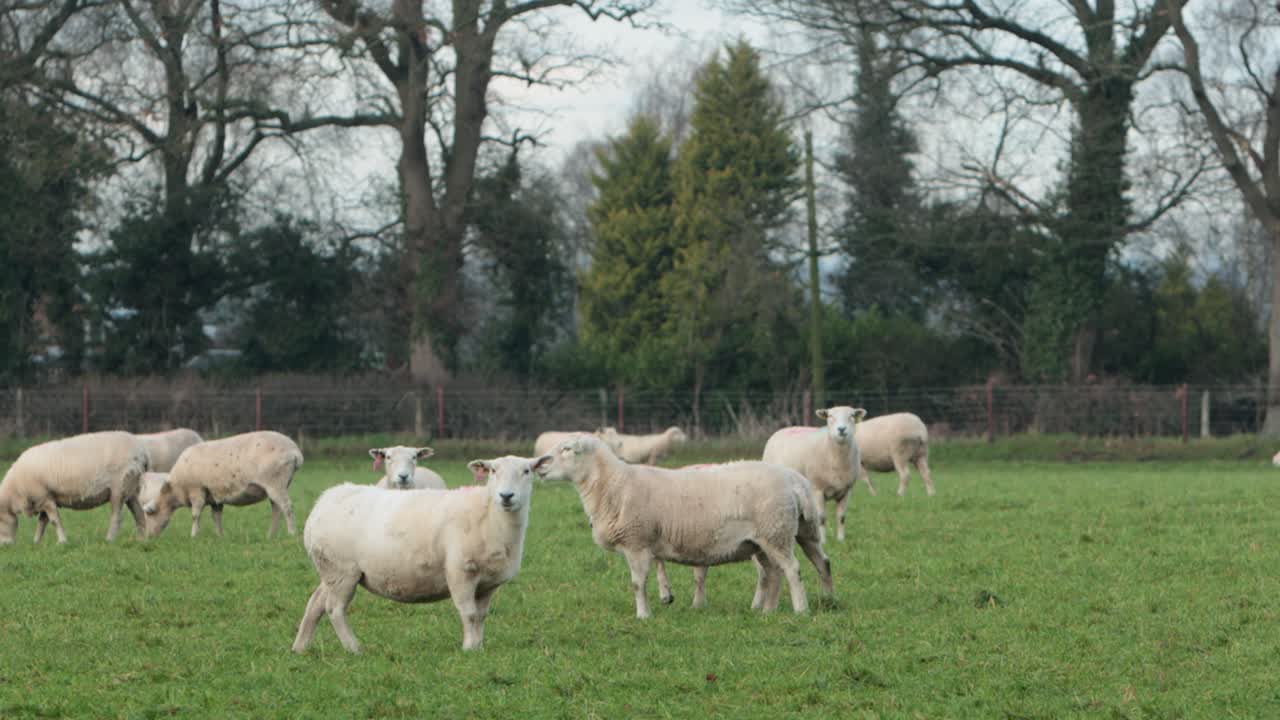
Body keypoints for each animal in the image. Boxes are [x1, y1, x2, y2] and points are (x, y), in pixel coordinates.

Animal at [0, 431, 149, 545]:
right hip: (131, 489)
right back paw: (143, 539)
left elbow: (54, 521)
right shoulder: (44, 498)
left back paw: (109, 539)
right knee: (139, 514)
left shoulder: (44, 498)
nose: (5, 546)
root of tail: (142, 452)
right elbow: (42, 523)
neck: (14, 490)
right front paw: (36, 542)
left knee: (117, 516)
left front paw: (62, 542)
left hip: (119, 488)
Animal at [139, 430, 302, 539]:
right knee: (277, 510)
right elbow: (216, 517)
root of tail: (295, 452)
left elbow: (195, 515)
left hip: (275, 482)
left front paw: (193, 536)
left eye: (150, 513)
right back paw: (270, 536)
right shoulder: (214, 496)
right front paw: (220, 536)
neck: (175, 489)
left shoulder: (196, 491)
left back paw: (292, 534)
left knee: (287, 507)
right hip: (278, 485)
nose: (149, 538)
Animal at [292, 454, 548, 653]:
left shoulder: (488, 583)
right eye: (493, 470)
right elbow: (469, 613)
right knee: (334, 609)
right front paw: (468, 648)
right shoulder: (460, 572)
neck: (489, 516)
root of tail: (324, 500)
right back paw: (353, 648)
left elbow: (481, 615)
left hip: (330, 570)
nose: (506, 496)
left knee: (315, 603)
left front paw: (479, 646)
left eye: (526, 471)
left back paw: (300, 647)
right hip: (343, 570)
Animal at [535, 434, 831, 619]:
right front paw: (661, 601)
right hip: (791, 532)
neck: (613, 485)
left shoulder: (636, 541)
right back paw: (814, 602)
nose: (539, 464)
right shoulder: (647, 541)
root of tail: (794, 479)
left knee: (792, 569)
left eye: (568, 449)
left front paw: (643, 615)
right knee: (813, 564)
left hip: (775, 531)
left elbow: (637, 584)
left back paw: (801, 609)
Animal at [762, 406, 867, 542]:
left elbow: (841, 517)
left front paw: (841, 540)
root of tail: (784, 429)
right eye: (830, 416)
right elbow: (821, 518)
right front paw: (823, 540)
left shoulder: (846, 490)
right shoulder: (817, 489)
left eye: (852, 416)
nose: (841, 429)